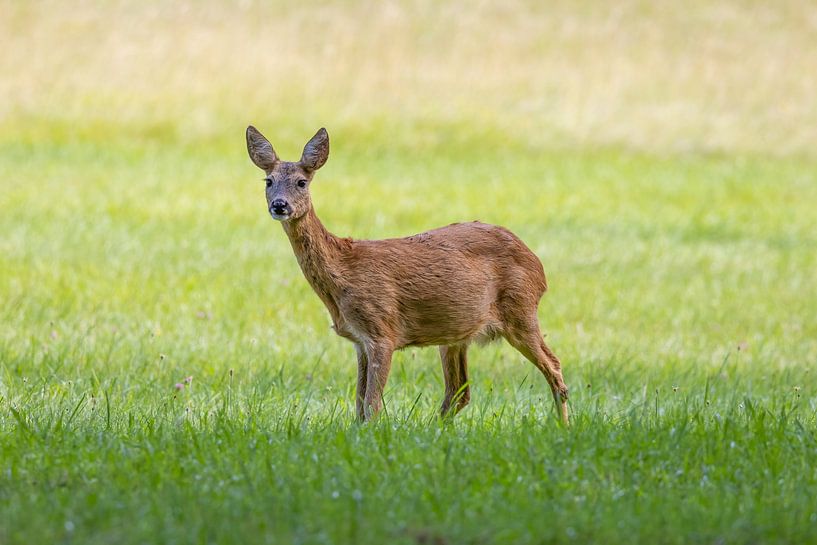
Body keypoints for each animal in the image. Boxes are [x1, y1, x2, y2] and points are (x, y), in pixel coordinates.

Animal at [245, 125, 569, 425]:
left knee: (554, 367)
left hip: (520, 309)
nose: (279, 205)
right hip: (455, 332)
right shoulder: (359, 340)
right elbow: (359, 403)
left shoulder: (382, 329)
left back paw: (563, 426)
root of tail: (539, 267)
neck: (343, 271)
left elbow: (372, 404)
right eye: (269, 181)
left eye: (301, 182)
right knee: (459, 391)